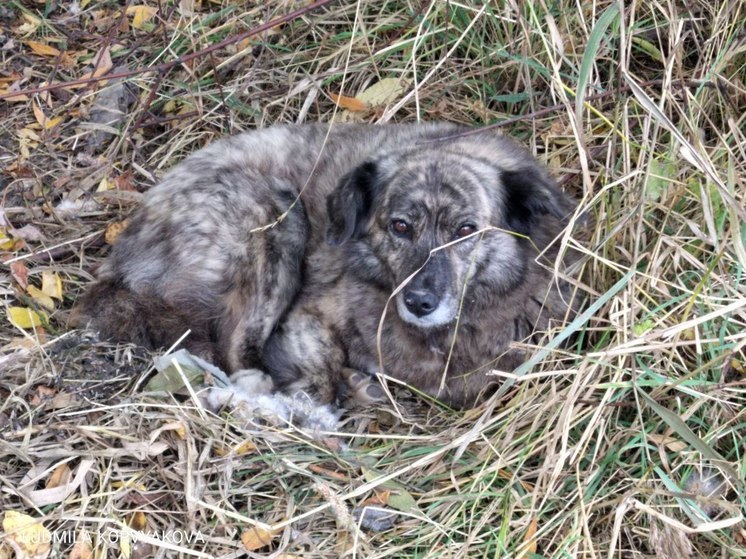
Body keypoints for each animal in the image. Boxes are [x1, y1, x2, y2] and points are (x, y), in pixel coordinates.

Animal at [72, 123, 580, 406]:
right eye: (400, 226)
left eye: (466, 229)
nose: (419, 302)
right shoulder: (305, 317)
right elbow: (320, 373)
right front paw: (331, 387)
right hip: (275, 213)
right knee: (236, 350)